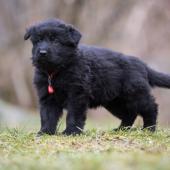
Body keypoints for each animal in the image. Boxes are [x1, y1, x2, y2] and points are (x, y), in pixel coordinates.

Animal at [24, 18, 170, 135]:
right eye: (38, 41)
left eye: (55, 41)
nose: (42, 52)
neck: (56, 71)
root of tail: (142, 64)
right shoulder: (47, 97)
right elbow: (47, 115)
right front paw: (45, 132)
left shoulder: (77, 95)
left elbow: (73, 115)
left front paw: (71, 132)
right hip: (114, 101)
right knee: (129, 114)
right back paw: (121, 129)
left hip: (135, 94)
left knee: (151, 107)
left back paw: (149, 129)